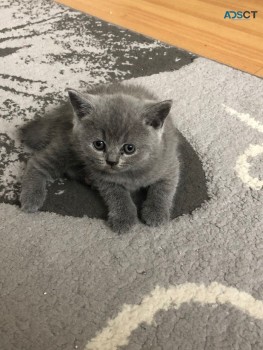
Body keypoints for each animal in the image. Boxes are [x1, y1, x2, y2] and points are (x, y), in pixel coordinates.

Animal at [20, 82, 182, 232]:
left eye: (129, 148)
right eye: (99, 144)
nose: (111, 161)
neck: (131, 172)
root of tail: (61, 111)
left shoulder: (169, 162)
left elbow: (164, 188)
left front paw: (156, 212)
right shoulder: (104, 178)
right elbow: (117, 194)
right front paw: (124, 218)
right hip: (68, 146)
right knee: (37, 161)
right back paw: (31, 196)